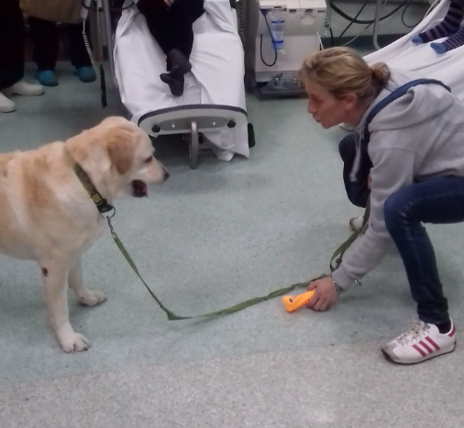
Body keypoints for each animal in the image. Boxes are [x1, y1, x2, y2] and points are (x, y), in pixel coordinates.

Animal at [0, 115, 170, 352]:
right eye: (148, 159)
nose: (167, 174)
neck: (85, 180)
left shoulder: (74, 252)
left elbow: (78, 278)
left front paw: (86, 297)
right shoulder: (54, 268)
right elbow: (60, 309)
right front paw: (68, 338)